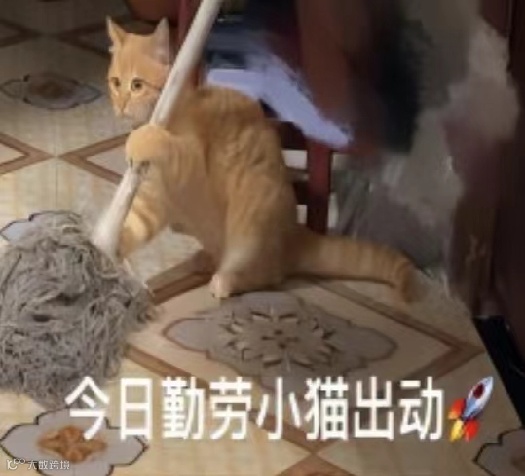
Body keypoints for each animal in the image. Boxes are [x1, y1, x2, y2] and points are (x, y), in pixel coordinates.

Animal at [106, 17, 416, 300]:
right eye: (115, 82)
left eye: (137, 85)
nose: (119, 105)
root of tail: (297, 233)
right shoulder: (154, 198)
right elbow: (134, 223)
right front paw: (109, 247)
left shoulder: (193, 170)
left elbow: (170, 147)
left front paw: (143, 139)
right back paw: (206, 259)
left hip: (252, 216)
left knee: (268, 274)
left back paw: (226, 281)